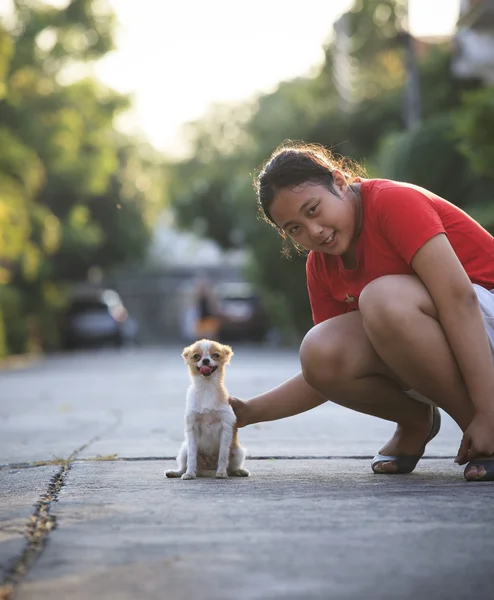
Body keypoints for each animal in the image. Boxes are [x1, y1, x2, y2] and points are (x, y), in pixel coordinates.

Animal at [166, 340, 251, 480]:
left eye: (215, 355)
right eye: (196, 356)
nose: (205, 360)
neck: (206, 387)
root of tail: (206, 470)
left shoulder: (226, 428)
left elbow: (223, 455)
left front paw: (221, 472)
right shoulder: (192, 428)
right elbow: (192, 457)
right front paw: (189, 473)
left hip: (238, 452)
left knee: (231, 468)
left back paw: (238, 471)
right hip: (184, 450)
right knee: (185, 464)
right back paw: (177, 472)